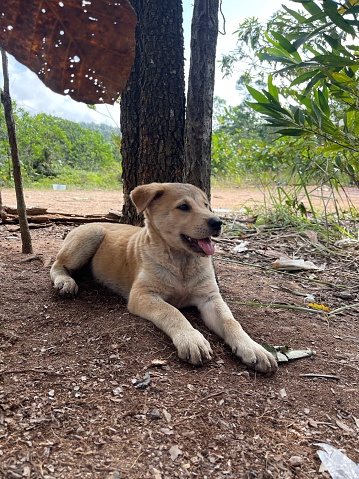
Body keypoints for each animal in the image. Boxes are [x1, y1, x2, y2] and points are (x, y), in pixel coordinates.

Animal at [49, 184, 278, 376]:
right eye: (183, 207)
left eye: (206, 205)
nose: (218, 222)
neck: (181, 262)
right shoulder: (143, 295)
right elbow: (172, 312)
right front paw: (191, 339)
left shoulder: (210, 298)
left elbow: (231, 322)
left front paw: (253, 348)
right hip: (91, 234)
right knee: (57, 265)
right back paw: (65, 282)